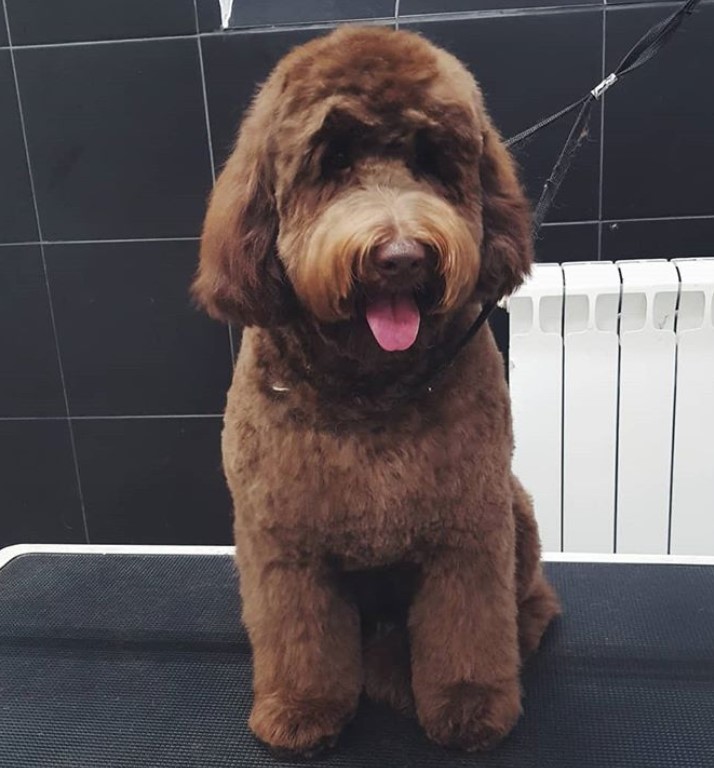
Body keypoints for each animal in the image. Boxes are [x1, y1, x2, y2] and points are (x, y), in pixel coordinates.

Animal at [192, 25, 560, 756]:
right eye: (331, 161)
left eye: (432, 160)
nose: (401, 255)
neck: (371, 390)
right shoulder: (283, 540)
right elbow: (299, 636)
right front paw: (301, 709)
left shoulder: (469, 528)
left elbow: (467, 627)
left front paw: (470, 706)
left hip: (516, 506)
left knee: (530, 598)